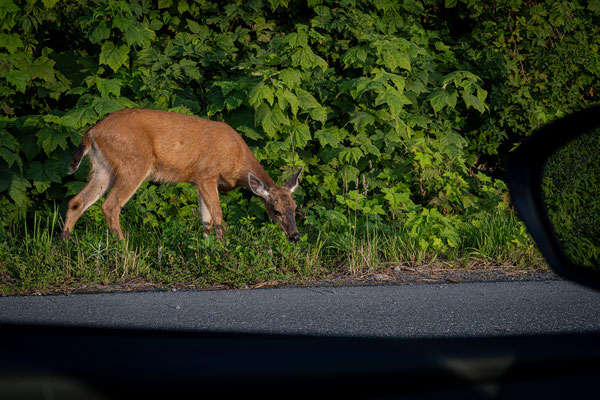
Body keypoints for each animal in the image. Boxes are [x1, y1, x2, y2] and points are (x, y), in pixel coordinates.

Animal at [59, 108, 304, 242]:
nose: (295, 236)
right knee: (110, 205)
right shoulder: (207, 174)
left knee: (77, 201)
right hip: (134, 163)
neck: (236, 160)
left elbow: (205, 218)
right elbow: (217, 215)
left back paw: (66, 243)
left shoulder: (199, 180)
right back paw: (125, 249)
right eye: (275, 210)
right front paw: (223, 248)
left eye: (295, 208)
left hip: (103, 168)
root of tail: (91, 132)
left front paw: (205, 248)